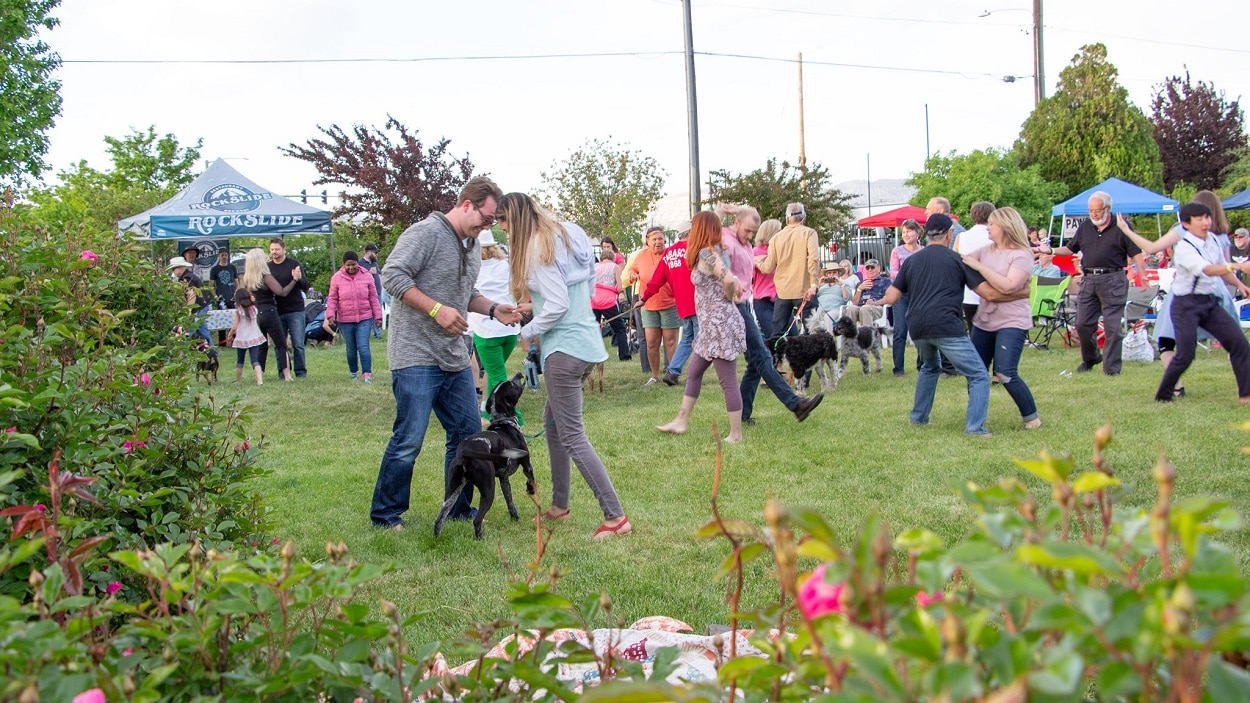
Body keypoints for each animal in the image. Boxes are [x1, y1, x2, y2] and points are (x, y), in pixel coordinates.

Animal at [432, 375, 535, 537]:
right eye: (511, 384)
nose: (518, 374)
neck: (505, 422)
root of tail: (465, 451)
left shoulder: (504, 479)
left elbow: (510, 501)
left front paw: (515, 518)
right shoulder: (527, 466)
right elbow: (531, 481)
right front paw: (531, 491)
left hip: (453, 489)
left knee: (439, 519)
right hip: (488, 489)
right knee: (477, 520)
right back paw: (481, 538)